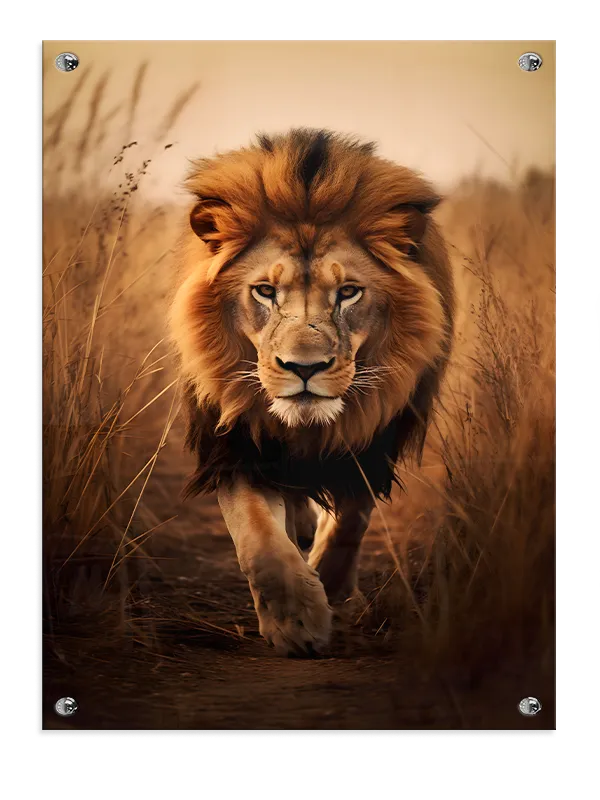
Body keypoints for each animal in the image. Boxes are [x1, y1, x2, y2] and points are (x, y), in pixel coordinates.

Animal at [170, 128, 455, 657]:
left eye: (348, 292)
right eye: (264, 291)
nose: (304, 368)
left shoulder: (374, 439)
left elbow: (352, 518)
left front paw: (331, 585)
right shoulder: (237, 447)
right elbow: (259, 539)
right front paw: (295, 621)